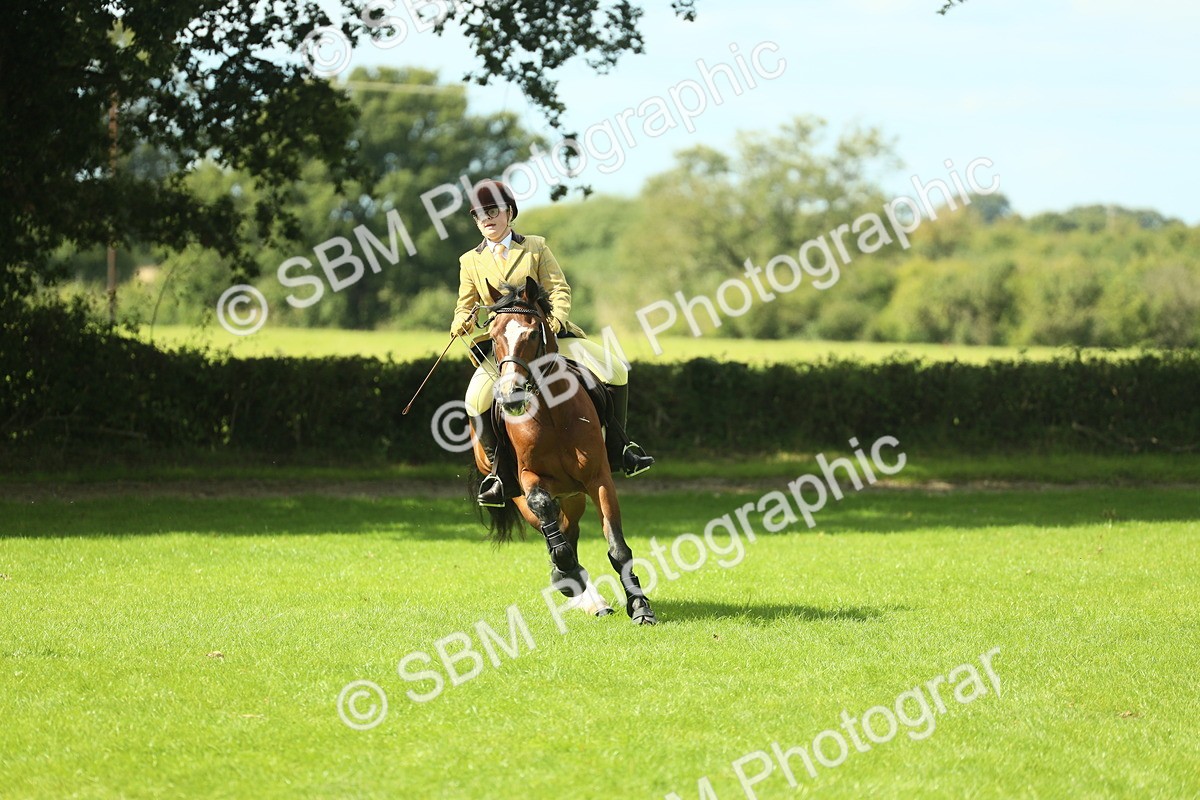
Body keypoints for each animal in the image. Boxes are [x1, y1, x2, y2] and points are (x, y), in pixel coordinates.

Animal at [468, 276, 657, 625]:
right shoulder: (529, 479)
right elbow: (545, 511)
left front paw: (640, 606)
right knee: (552, 528)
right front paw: (565, 571)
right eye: (495, 335)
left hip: (572, 496)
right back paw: (579, 589)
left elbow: (617, 546)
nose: (511, 397)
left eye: (532, 333)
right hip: (518, 491)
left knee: (569, 529)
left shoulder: (598, 478)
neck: (552, 412)